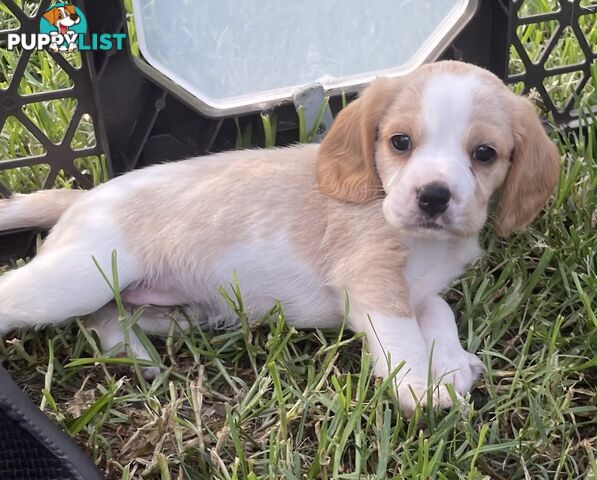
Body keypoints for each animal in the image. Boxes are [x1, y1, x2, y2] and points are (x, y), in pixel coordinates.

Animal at [0, 62, 560, 416]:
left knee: (105, 318)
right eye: (400, 142)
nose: (434, 197)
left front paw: (453, 364)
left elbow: (439, 313)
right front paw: (421, 391)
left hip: (148, 299)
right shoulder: (373, 282)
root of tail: (81, 198)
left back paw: (138, 353)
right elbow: (403, 337)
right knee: (30, 300)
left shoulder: (419, 291)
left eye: (485, 153)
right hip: (75, 279)